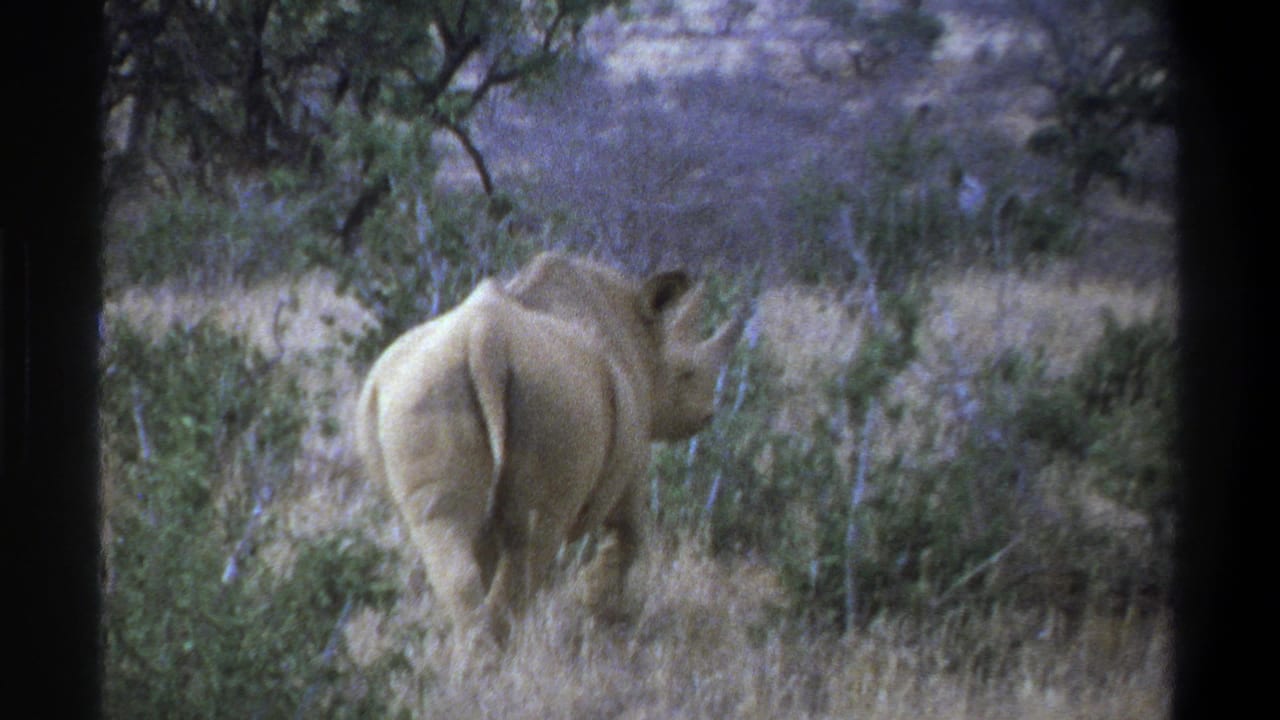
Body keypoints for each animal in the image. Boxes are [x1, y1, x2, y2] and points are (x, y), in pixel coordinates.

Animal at [356, 251, 745, 639]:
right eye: (687, 373)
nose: (708, 415)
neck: (641, 334)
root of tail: (484, 339)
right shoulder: (632, 457)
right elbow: (631, 532)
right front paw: (598, 606)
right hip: (554, 404)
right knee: (534, 541)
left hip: (423, 386)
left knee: (447, 535)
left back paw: (470, 649)